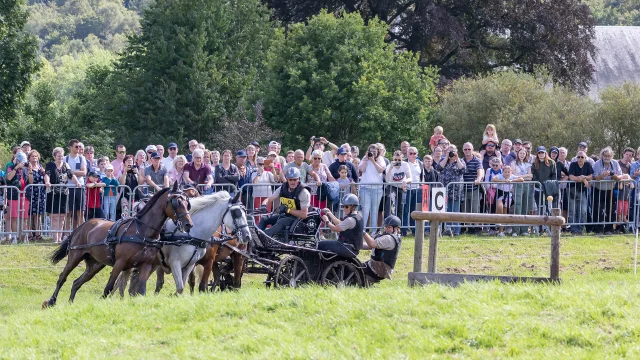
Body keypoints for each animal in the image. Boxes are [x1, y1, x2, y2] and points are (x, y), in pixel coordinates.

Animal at [42, 184, 191, 308]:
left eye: (187, 203)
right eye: (176, 202)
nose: (188, 224)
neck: (142, 231)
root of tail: (82, 225)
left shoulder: (145, 265)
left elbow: (141, 290)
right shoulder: (120, 263)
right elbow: (109, 287)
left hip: (95, 265)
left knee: (76, 283)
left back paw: (70, 303)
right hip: (75, 256)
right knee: (62, 278)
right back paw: (51, 301)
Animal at [119, 191, 251, 296]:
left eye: (243, 212)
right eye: (236, 212)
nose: (247, 235)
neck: (193, 234)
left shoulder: (199, 263)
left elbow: (196, 286)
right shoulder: (176, 263)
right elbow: (184, 285)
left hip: (238, 255)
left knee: (235, 279)